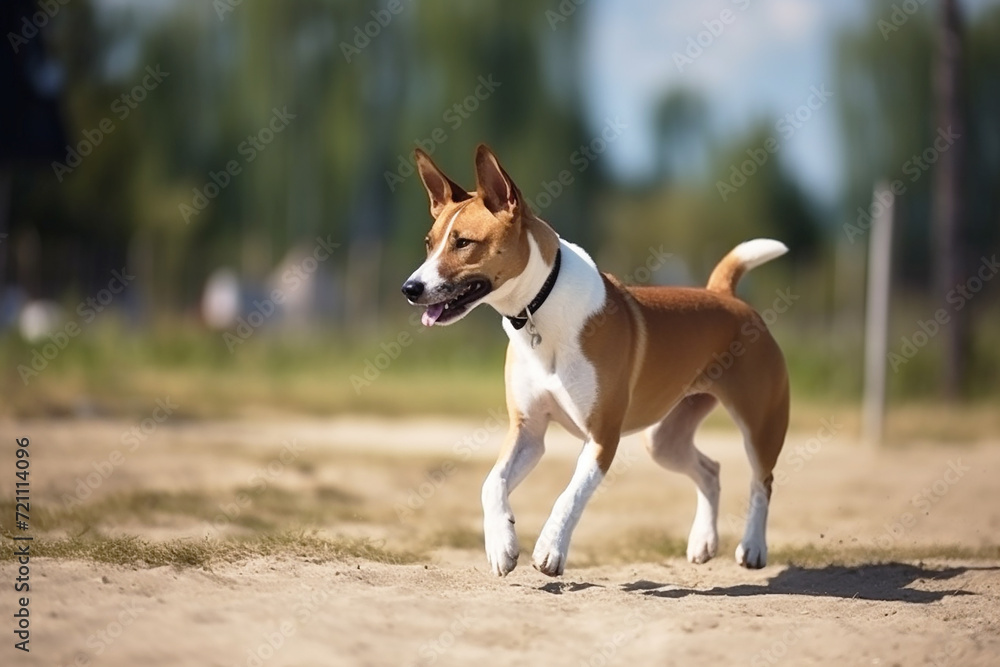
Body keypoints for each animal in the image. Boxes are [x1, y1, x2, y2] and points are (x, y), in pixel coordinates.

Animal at [400, 146, 788, 580]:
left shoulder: (602, 437)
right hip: (664, 439)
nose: (410, 288)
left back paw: (752, 547)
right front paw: (502, 544)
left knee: (761, 482)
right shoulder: (528, 431)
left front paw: (550, 551)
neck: (541, 308)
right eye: (429, 243)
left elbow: (570, 496)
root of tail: (727, 296)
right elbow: (491, 483)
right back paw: (703, 542)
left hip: (760, 425)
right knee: (711, 471)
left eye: (464, 242)